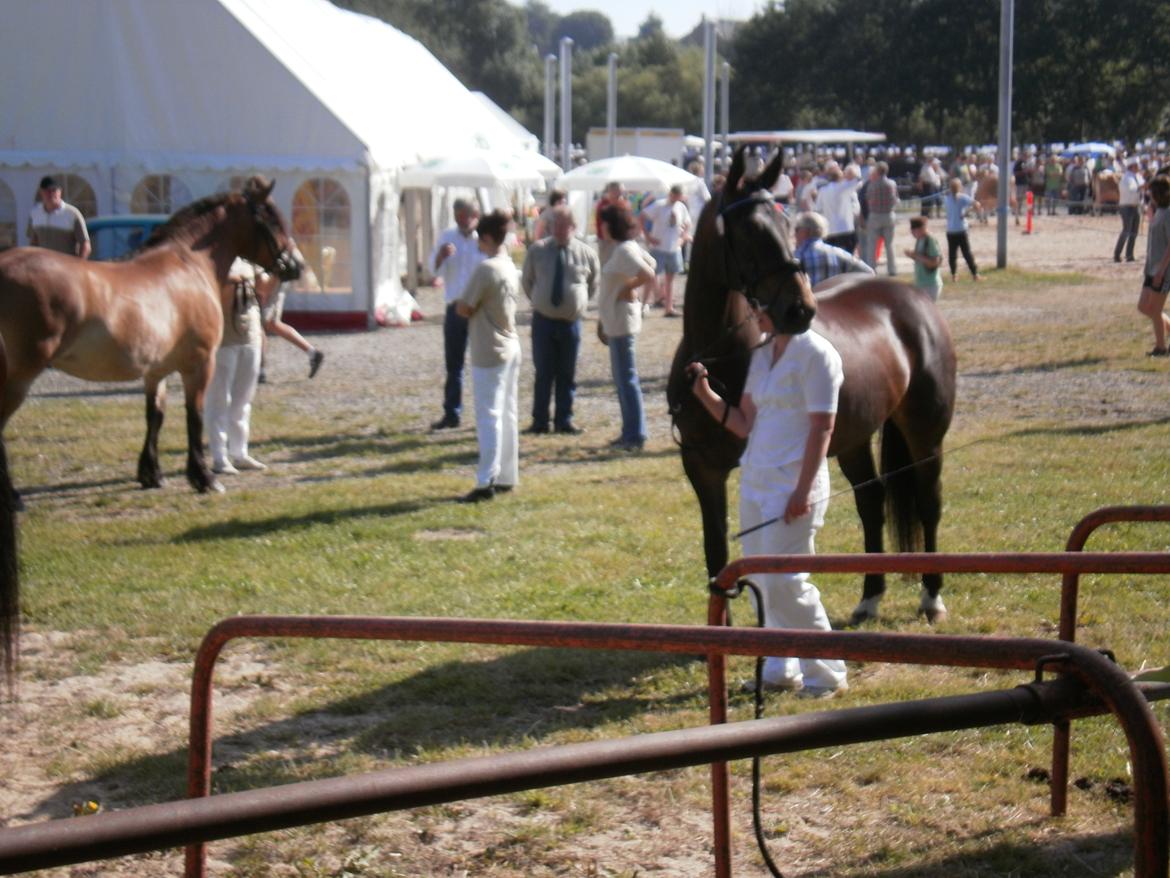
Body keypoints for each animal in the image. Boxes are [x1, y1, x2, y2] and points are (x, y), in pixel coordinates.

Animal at [673, 146, 954, 627]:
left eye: (789, 225)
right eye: (750, 232)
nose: (800, 308)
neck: (719, 358)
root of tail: (913, 301)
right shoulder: (702, 469)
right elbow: (717, 555)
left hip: (925, 436)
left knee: (927, 500)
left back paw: (931, 596)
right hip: (853, 438)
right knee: (871, 501)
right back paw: (869, 598)